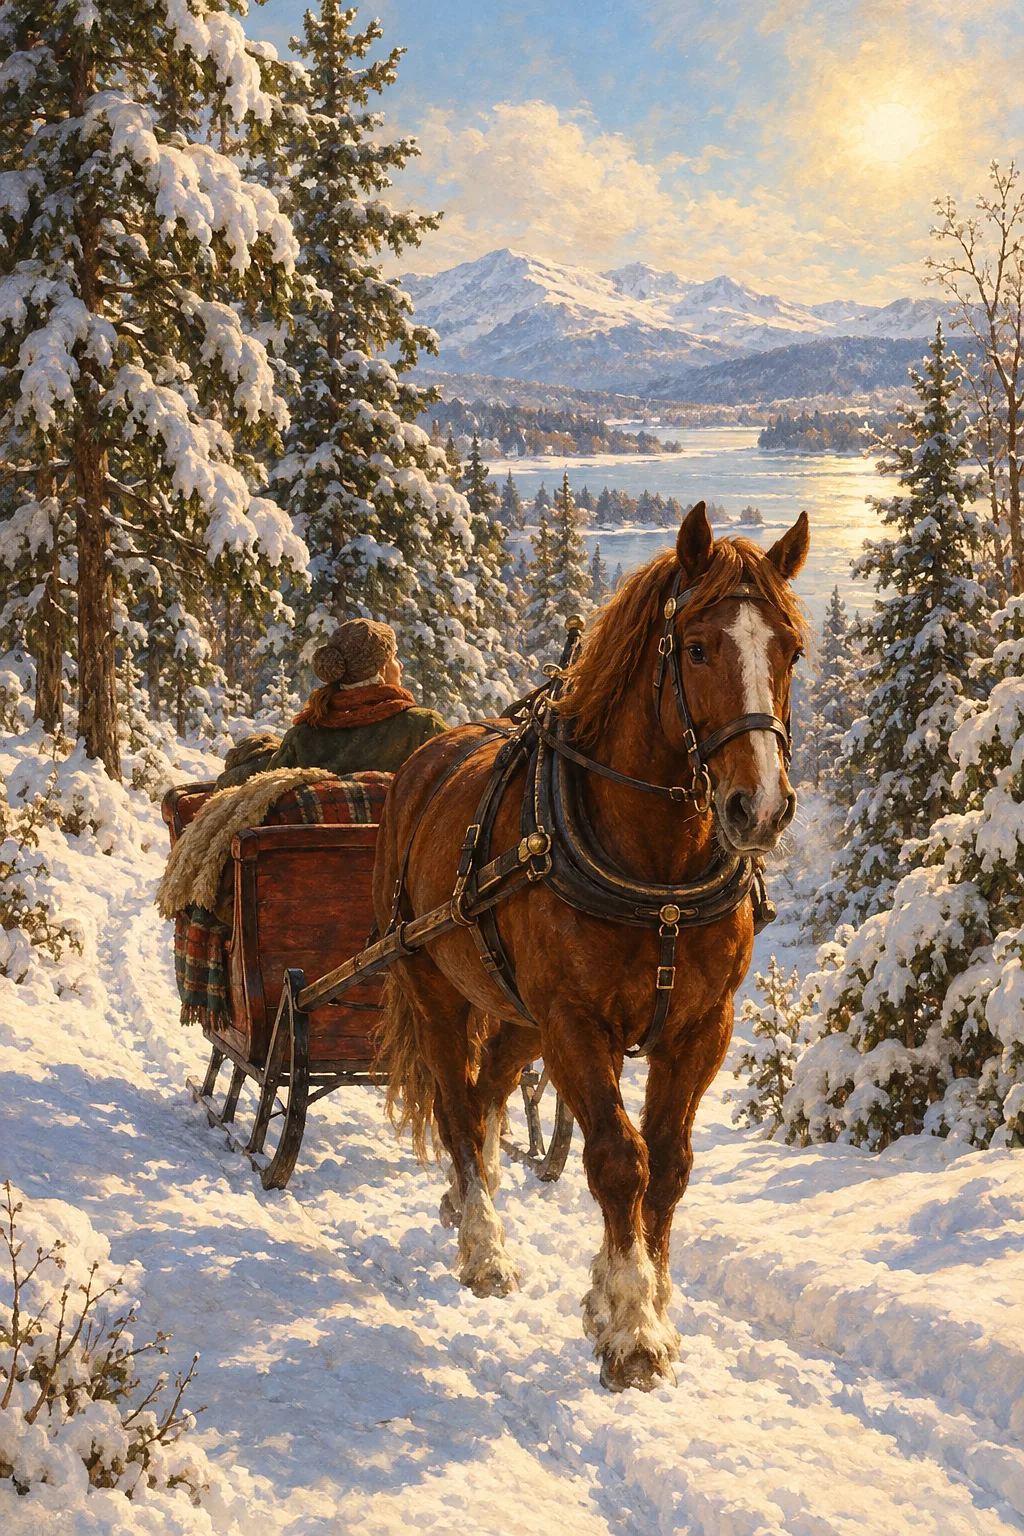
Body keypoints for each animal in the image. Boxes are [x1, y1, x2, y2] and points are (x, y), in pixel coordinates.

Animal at [372, 501, 809, 1391]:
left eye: (791, 650)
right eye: (699, 647)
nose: (760, 807)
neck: (658, 872)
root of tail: (425, 761)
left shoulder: (700, 1027)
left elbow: (668, 1166)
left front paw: (649, 1307)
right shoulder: (577, 1023)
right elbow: (617, 1160)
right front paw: (631, 1328)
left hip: (516, 1012)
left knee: (486, 1092)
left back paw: (472, 1202)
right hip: (433, 984)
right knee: (455, 1103)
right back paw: (484, 1247)